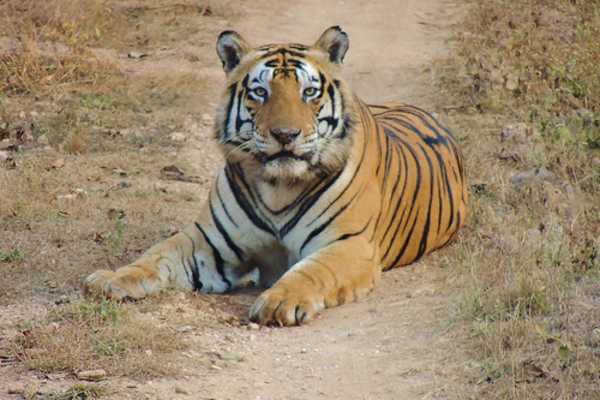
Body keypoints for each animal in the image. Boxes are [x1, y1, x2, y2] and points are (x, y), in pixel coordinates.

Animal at [84, 25, 468, 326]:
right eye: (260, 92)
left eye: (309, 92)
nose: (285, 135)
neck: (279, 188)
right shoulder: (209, 242)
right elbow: (157, 255)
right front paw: (112, 278)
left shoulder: (349, 244)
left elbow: (312, 271)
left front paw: (280, 301)